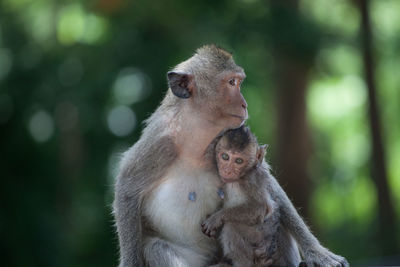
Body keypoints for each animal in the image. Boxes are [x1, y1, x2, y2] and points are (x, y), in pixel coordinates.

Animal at [202, 127, 276, 267]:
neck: (238, 179)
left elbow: (262, 207)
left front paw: (216, 218)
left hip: (257, 238)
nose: (227, 170)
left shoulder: (251, 180)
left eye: (239, 161)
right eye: (225, 157)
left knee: (231, 226)